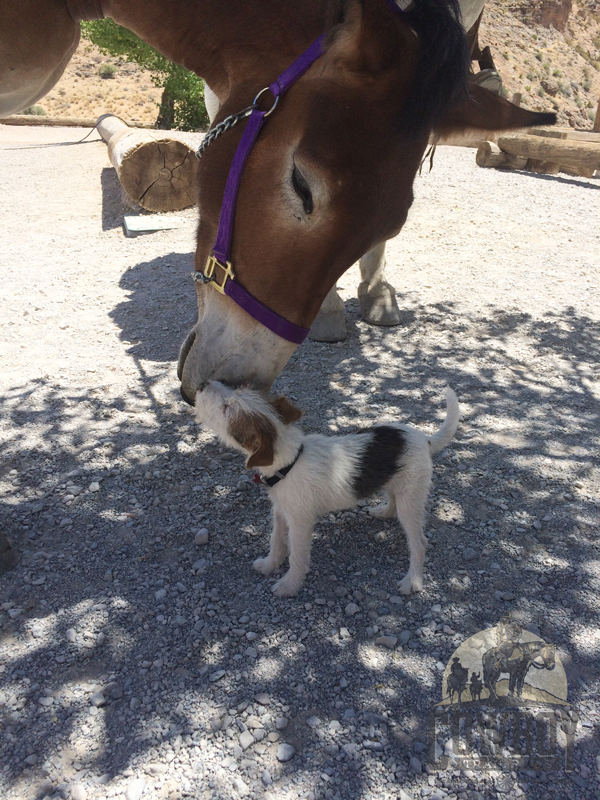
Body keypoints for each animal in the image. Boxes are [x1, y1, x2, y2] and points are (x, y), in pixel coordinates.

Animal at [197, 384, 460, 596]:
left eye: (226, 408)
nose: (202, 384)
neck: (290, 460)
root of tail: (424, 438)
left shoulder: (300, 523)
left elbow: (296, 555)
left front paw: (289, 585)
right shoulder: (281, 512)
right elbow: (276, 540)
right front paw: (269, 565)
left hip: (411, 500)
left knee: (419, 542)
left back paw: (412, 581)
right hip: (396, 486)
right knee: (392, 499)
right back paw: (383, 512)